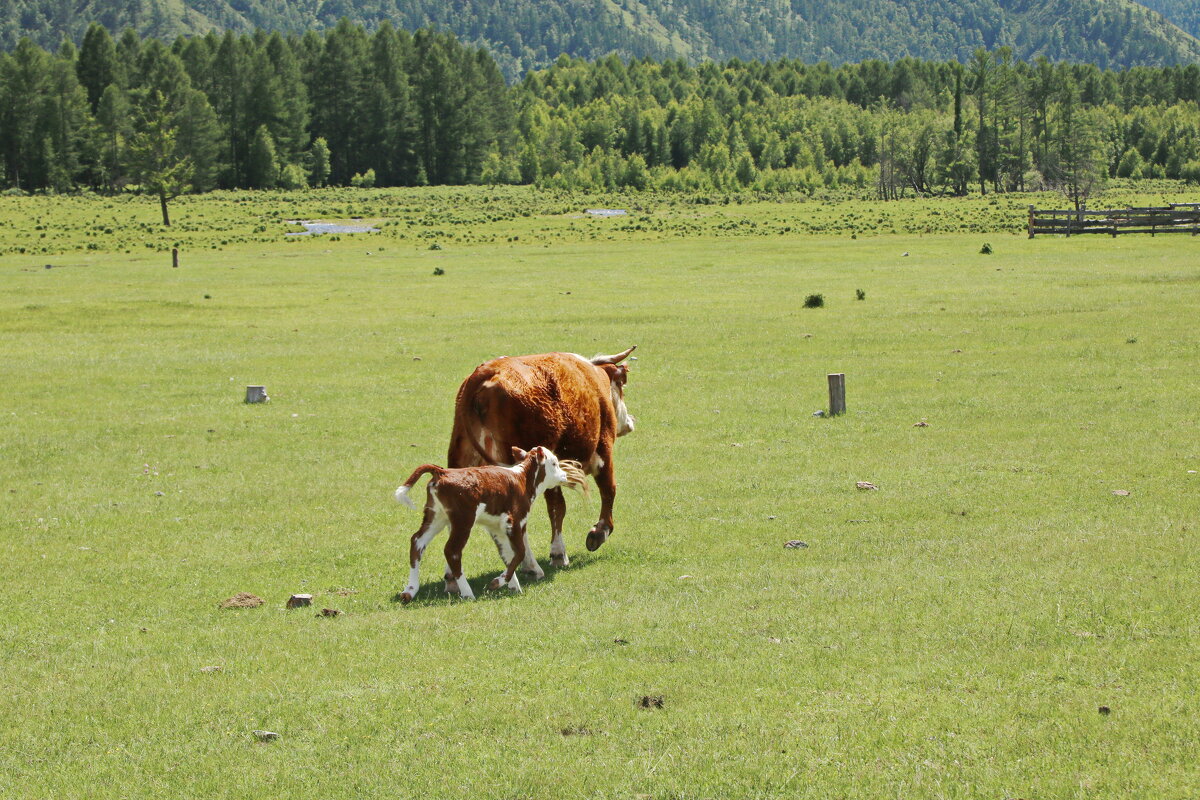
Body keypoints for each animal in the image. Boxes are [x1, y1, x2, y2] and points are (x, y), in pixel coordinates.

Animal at [393, 443, 585, 599]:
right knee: (452, 551)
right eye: (554, 463)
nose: (564, 476)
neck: (522, 479)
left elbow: (508, 555)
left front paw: (514, 587)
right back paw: (467, 593)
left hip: (436, 517)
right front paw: (498, 582)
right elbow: (520, 552)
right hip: (463, 520)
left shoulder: (497, 528)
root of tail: (442, 472)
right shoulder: (514, 522)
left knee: (417, 542)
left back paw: (409, 591)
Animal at [448, 347, 638, 578]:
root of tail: (483, 375)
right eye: (622, 384)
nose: (630, 422)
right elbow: (605, 491)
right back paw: (531, 565)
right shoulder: (603, 450)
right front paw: (596, 534)